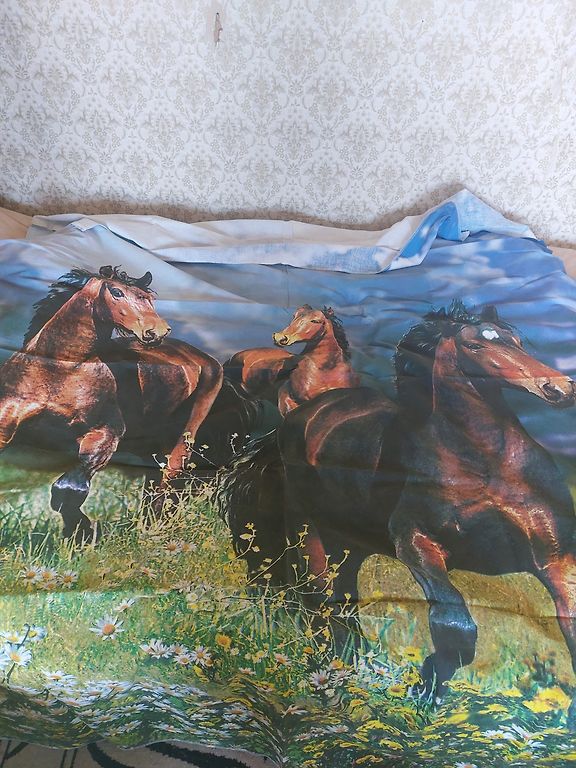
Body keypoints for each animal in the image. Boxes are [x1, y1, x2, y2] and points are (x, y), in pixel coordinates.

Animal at [0, 266, 223, 541]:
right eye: (117, 292)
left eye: (150, 298)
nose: (157, 331)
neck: (58, 369)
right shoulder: (6, 425)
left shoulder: (107, 432)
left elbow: (67, 489)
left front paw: (83, 534)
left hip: (183, 437)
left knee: (168, 476)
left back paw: (151, 530)